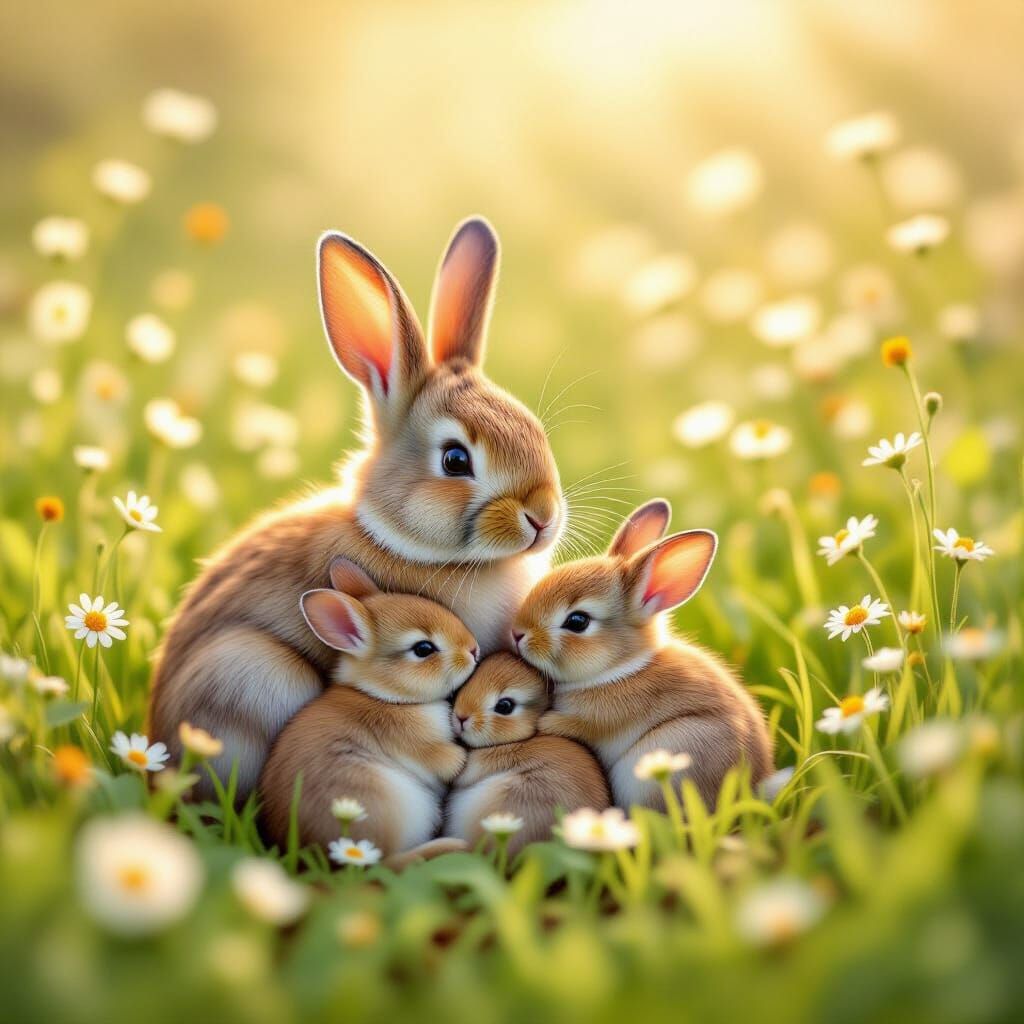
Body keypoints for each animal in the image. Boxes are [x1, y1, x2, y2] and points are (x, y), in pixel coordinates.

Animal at [259, 559, 476, 862]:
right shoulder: (412, 741)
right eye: (423, 648)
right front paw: (461, 758)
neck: (384, 697)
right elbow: (444, 759)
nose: (474, 649)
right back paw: (451, 846)